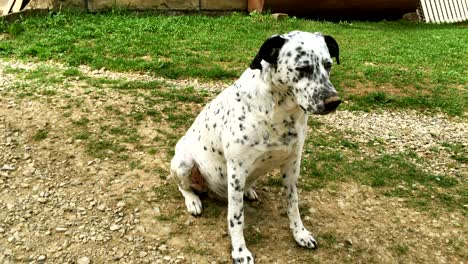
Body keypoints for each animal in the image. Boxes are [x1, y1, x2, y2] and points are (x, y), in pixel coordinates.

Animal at [170, 31, 338, 262]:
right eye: (302, 68)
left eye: (328, 65)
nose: (334, 102)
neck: (280, 112)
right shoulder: (237, 171)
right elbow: (236, 218)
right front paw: (240, 251)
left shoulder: (292, 166)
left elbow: (293, 205)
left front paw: (300, 234)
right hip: (184, 163)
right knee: (183, 187)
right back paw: (192, 200)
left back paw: (249, 191)